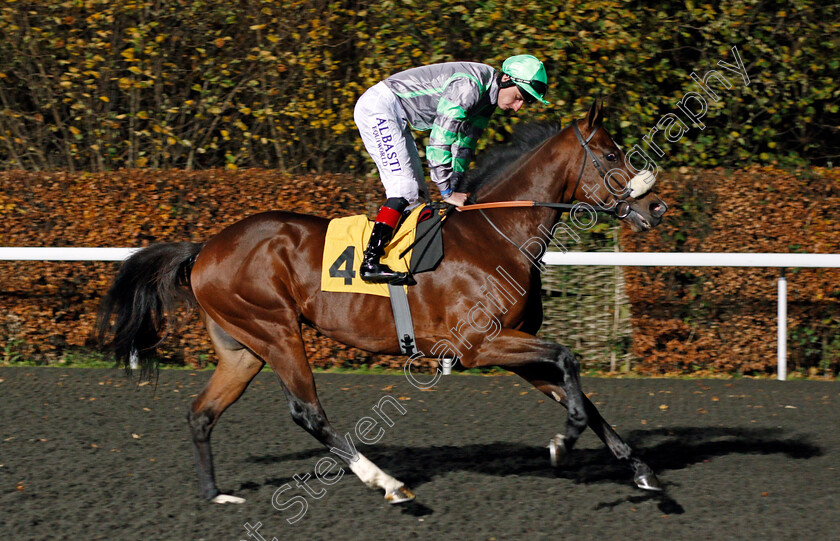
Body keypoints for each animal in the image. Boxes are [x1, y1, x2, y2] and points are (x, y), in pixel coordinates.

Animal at [93, 101, 668, 506]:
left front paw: (640, 469)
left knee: (202, 414)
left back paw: (216, 494)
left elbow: (579, 392)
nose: (657, 207)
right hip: (275, 330)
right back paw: (387, 483)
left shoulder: (516, 346)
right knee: (307, 412)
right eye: (612, 155)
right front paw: (563, 443)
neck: (496, 234)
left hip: (243, 347)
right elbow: (569, 362)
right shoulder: (480, 346)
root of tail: (205, 248)